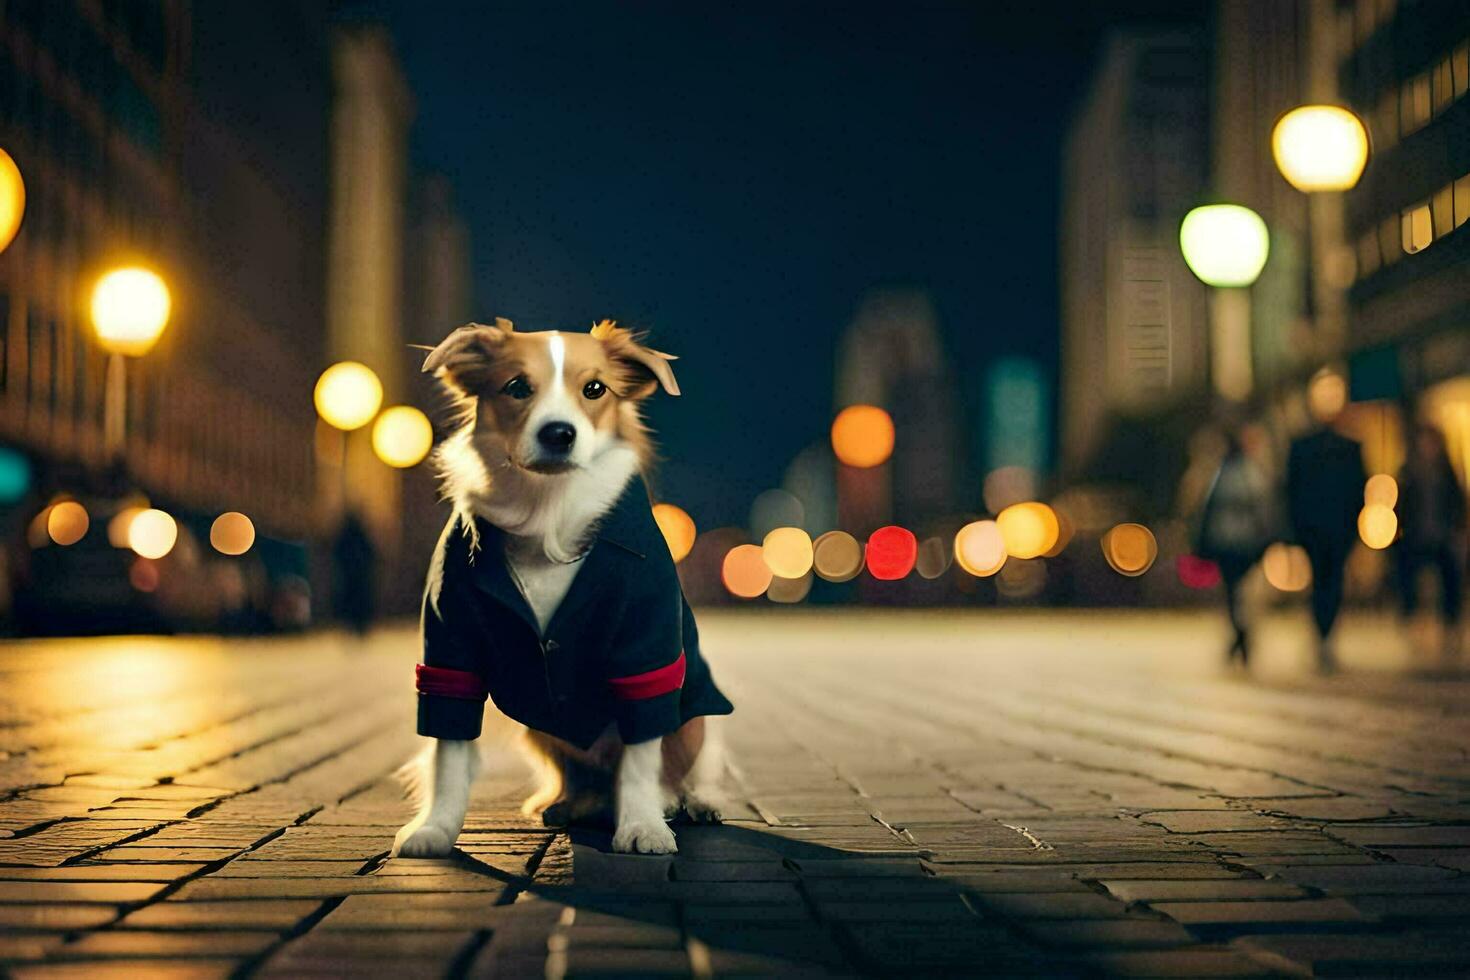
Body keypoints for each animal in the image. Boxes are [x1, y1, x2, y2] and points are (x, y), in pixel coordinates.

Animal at [393, 320, 732, 858]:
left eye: (594, 389)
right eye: (516, 387)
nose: (559, 432)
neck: (546, 510)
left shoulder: (646, 658)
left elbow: (641, 760)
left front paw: (644, 825)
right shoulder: (451, 653)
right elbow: (449, 754)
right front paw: (435, 828)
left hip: (693, 719)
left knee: (683, 766)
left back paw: (691, 801)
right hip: (537, 729)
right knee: (583, 778)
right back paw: (571, 802)